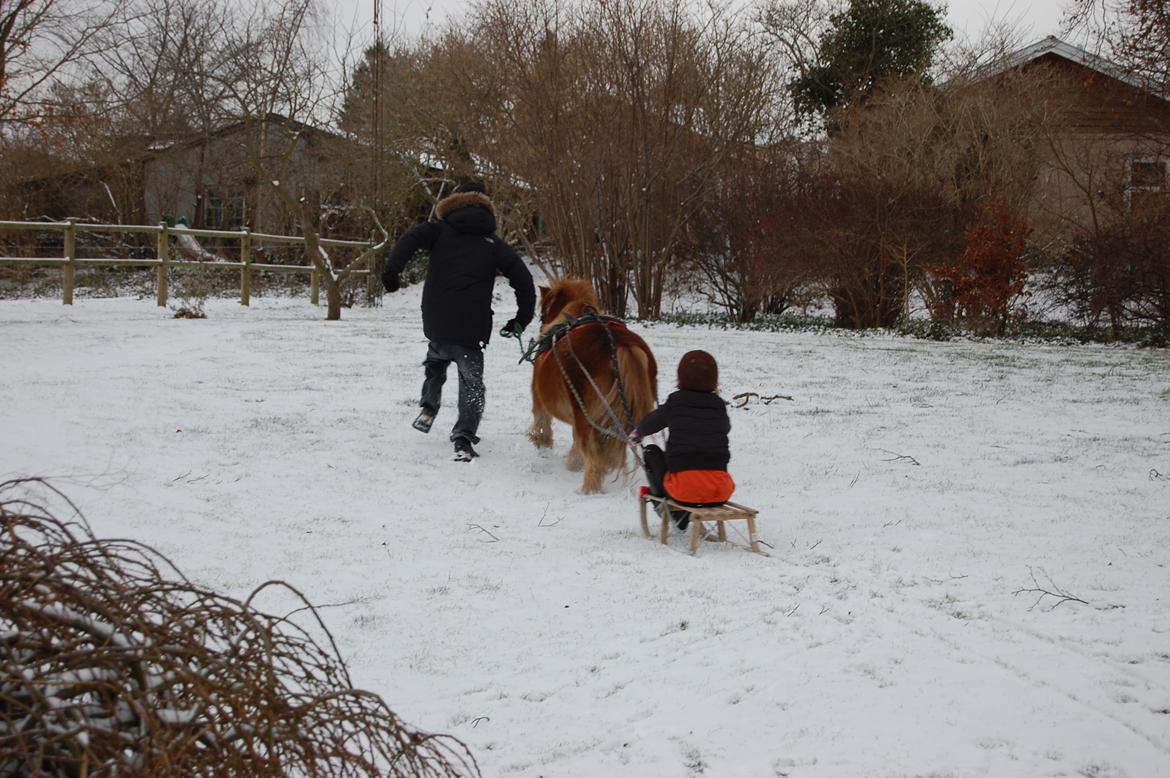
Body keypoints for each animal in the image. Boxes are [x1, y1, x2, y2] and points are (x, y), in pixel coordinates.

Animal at [531, 276, 659, 489]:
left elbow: (541, 420)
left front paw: (543, 442)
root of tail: (621, 344)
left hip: (586, 417)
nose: (542, 330)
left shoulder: (538, 398)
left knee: (593, 457)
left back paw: (588, 489)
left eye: (542, 314)